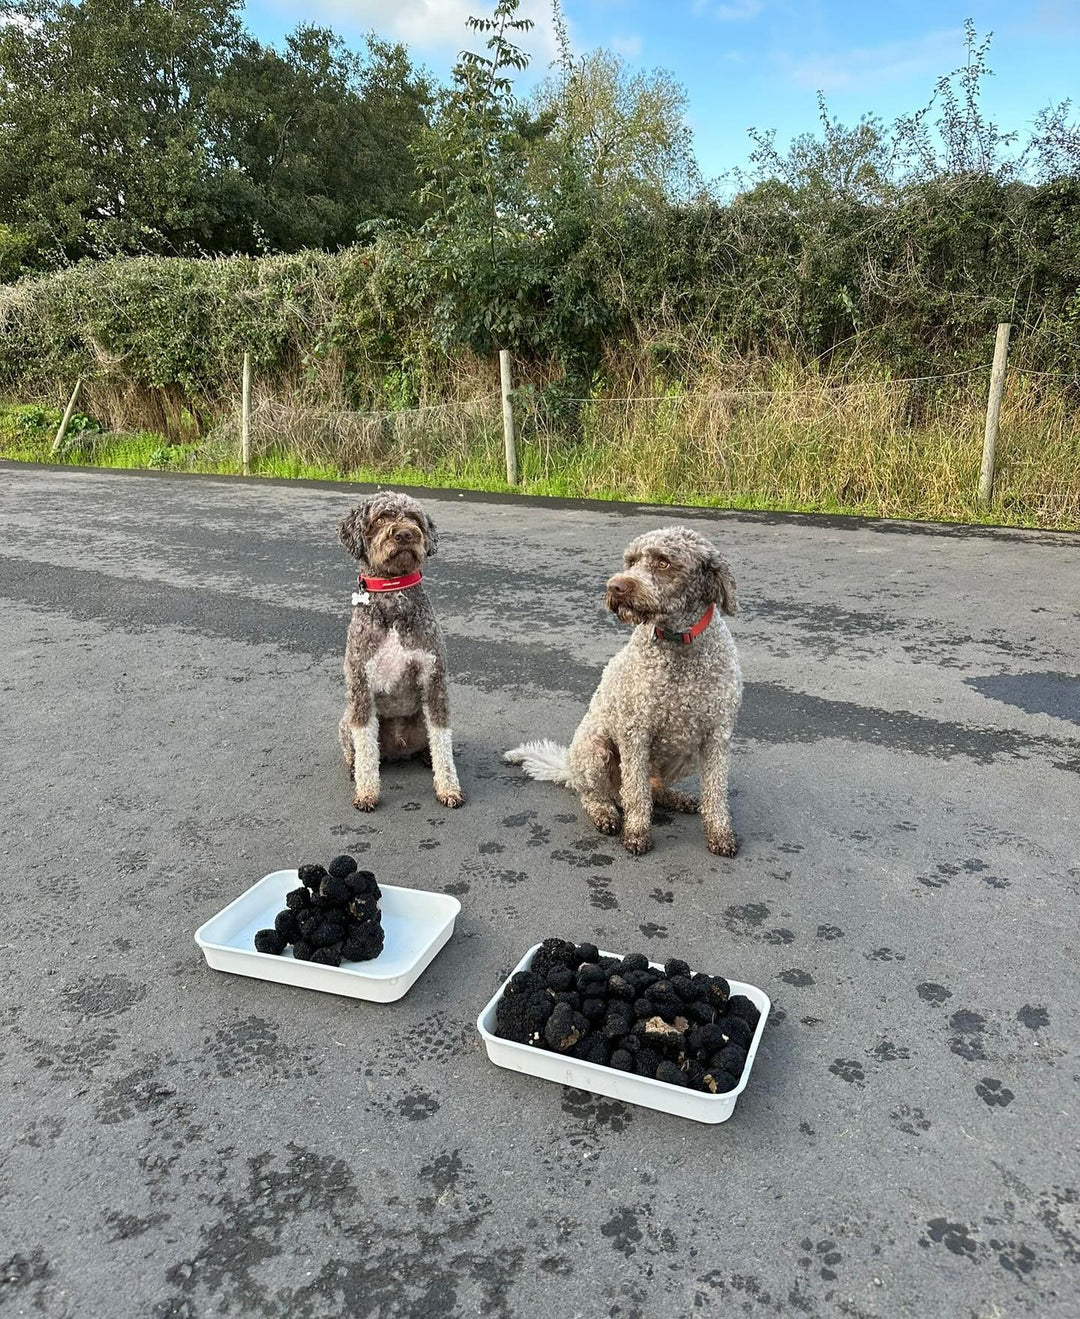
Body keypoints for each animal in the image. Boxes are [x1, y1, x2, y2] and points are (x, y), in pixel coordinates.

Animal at [506, 530, 743, 859]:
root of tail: (569, 767)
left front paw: (720, 833)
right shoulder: (635, 733)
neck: (678, 646)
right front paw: (637, 834)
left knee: (653, 788)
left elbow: (716, 791)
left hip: (686, 755)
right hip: (594, 749)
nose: (615, 586)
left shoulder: (717, 735)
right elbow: (636, 793)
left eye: (663, 562)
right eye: (630, 561)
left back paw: (675, 798)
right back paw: (606, 813)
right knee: (599, 795)